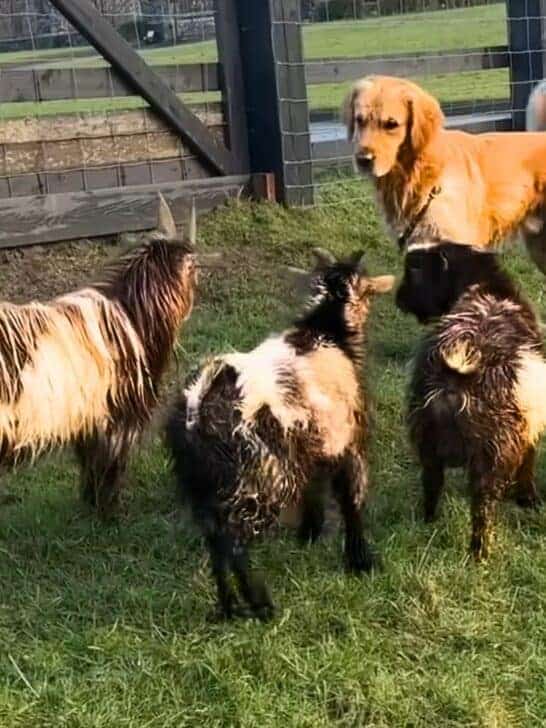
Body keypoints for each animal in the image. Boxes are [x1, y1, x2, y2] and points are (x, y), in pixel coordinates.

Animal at [0, 195, 196, 516]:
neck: (130, 312)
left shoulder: (88, 420)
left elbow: (90, 466)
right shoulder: (116, 418)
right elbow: (107, 467)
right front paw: (109, 512)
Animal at [166, 249, 394, 619]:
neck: (327, 330)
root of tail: (197, 406)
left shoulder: (315, 445)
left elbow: (314, 490)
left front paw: (310, 534)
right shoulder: (347, 441)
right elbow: (351, 500)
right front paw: (361, 560)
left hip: (202, 484)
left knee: (214, 538)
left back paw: (228, 606)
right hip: (259, 476)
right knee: (233, 540)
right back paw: (260, 603)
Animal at [396, 241, 546, 560]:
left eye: (415, 271)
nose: (400, 299)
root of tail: (459, 366)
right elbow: (528, 461)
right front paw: (528, 499)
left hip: (426, 439)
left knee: (431, 484)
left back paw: (428, 524)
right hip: (491, 456)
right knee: (482, 509)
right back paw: (480, 555)